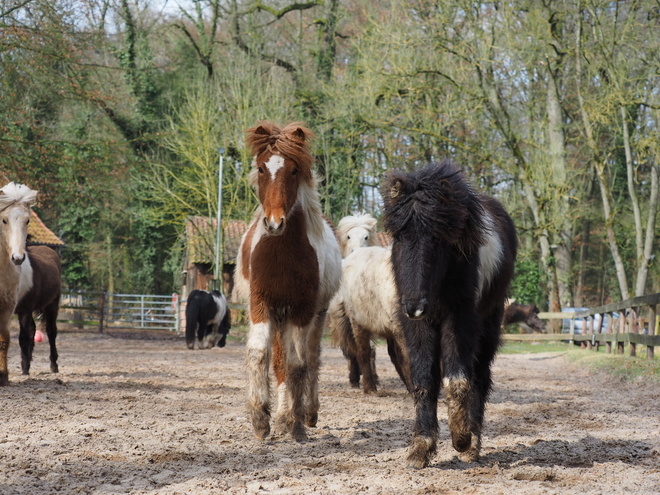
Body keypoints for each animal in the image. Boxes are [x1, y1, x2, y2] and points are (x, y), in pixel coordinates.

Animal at [14, 246, 62, 378]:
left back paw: (53, 365)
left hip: (51, 305)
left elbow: (23, 338)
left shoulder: (24, 309)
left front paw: (25, 370)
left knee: (51, 332)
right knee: (32, 329)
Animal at [236, 122, 340, 444]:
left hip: (316, 315)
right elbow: (261, 355)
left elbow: (298, 365)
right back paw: (281, 418)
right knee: (280, 362)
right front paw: (261, 420)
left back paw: (306, 415)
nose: (274, 223)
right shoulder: (260, 303)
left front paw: (296, 426)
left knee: (311, 360)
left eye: (294, 170)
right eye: (260, 168)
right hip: (280, 316)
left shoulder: (303, 309)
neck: (282, 253)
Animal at [384, 162, 520, 468]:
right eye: (400, 236)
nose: (414, 306)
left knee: (480, 376)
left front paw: (461, 438)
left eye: (438, 239)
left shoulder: (461, 318)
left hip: (488, 324)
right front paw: (420, 448)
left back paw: (473, 444)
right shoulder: (418, 326)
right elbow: (423, 380)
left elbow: (457, 379)